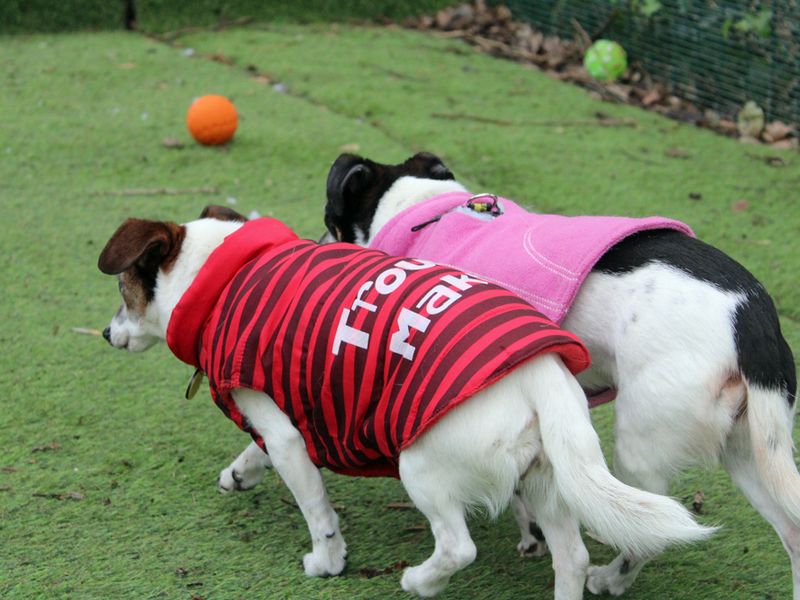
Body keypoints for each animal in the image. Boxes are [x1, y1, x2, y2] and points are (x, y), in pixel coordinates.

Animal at [310, 151, 792, 596]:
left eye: (329, 219)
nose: (317, 242)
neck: (426, 208)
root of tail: (752, 322)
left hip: (642, 449)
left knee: (648, 534)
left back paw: (610, 579)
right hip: (754, 449)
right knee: (793, 532)